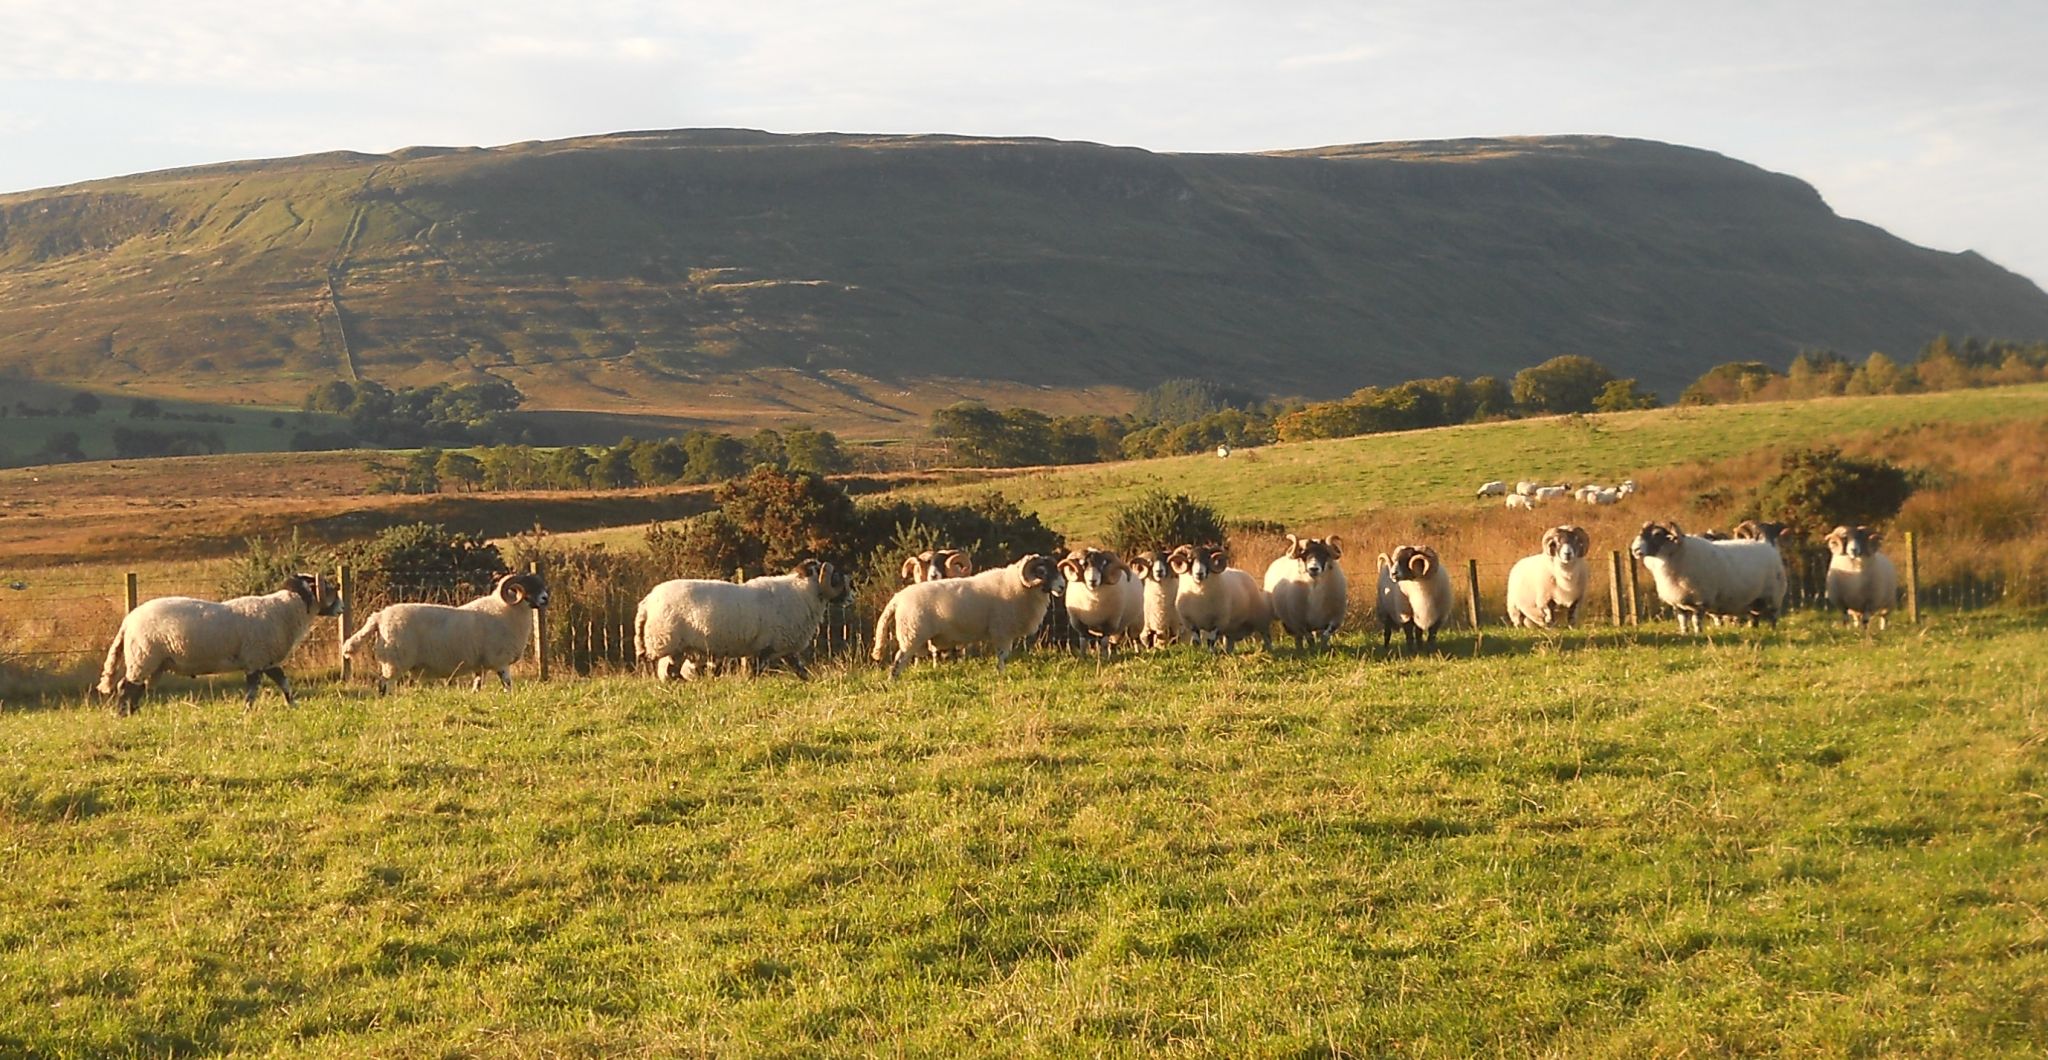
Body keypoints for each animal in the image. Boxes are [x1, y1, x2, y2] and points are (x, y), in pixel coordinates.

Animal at [96, 572, 339, 716]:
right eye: (328, 588)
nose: (342, 607)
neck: (285, 610)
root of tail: (128, 621)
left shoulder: (266, 660)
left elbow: (283, 681)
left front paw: (293, 705)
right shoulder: (256, 658)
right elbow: (253, 690)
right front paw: (247, 712)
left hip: (148, 660)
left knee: (135, 688)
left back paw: (133, 712)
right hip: (143, 655)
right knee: (126, 686)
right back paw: (123, 715)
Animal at [344, 572, 552, 699]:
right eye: (529, 587)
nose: (545, 599)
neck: (507, 610)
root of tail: (379, 617)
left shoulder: (480, 664)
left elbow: (478, 683)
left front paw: (474, 696)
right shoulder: (499, 661)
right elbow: (507, 683)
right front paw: (510, 697)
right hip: (395, 660)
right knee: (385, 684)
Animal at [630, 560, 839, 687]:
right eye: (836, 575)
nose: (847, 596)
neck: (802, 593)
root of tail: (647, 603)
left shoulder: (781, 649)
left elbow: (799, 669)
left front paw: (810, 682)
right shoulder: (765, 648)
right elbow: (756, 672)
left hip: (677, 648)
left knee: (668, 672)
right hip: (667, 642)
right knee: (667, 671)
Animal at [868, 556, 1064, 683]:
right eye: (1042, 571)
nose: (1062, 587)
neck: (1018, 586)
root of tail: (898, 598)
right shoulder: (1001, 632)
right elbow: (1002, 657)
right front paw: (1001, 675)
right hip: (911, 634)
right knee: (899, 660)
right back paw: (893, 681)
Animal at [1630, 521, 1794, 634]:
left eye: (1657, 534)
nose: (1635, 549)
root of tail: (1767, 544)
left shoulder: (1700, 601)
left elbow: (1696, 622)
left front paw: (1698, 634)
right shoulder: (1678, 604)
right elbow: (1683, 623)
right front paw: (1684, 634)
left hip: (1774, 597)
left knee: (1773, 617)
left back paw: (1773, 631)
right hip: (1754, 601)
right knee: (1754, 618)